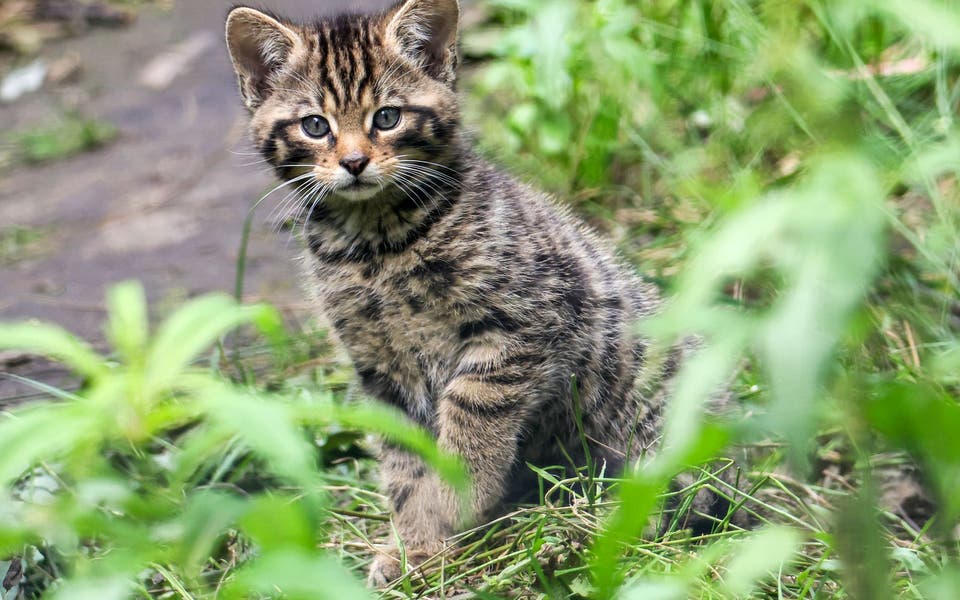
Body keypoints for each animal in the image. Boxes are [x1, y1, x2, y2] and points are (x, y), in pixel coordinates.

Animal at [225, 0, 688, 584]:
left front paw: (452, 507)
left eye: (387, 117)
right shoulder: (381, 369)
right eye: (314, 126)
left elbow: (469, 420)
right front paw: (414, 544)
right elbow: (404, 462)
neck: (376, 247)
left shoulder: (522, 323)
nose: (354, 162)